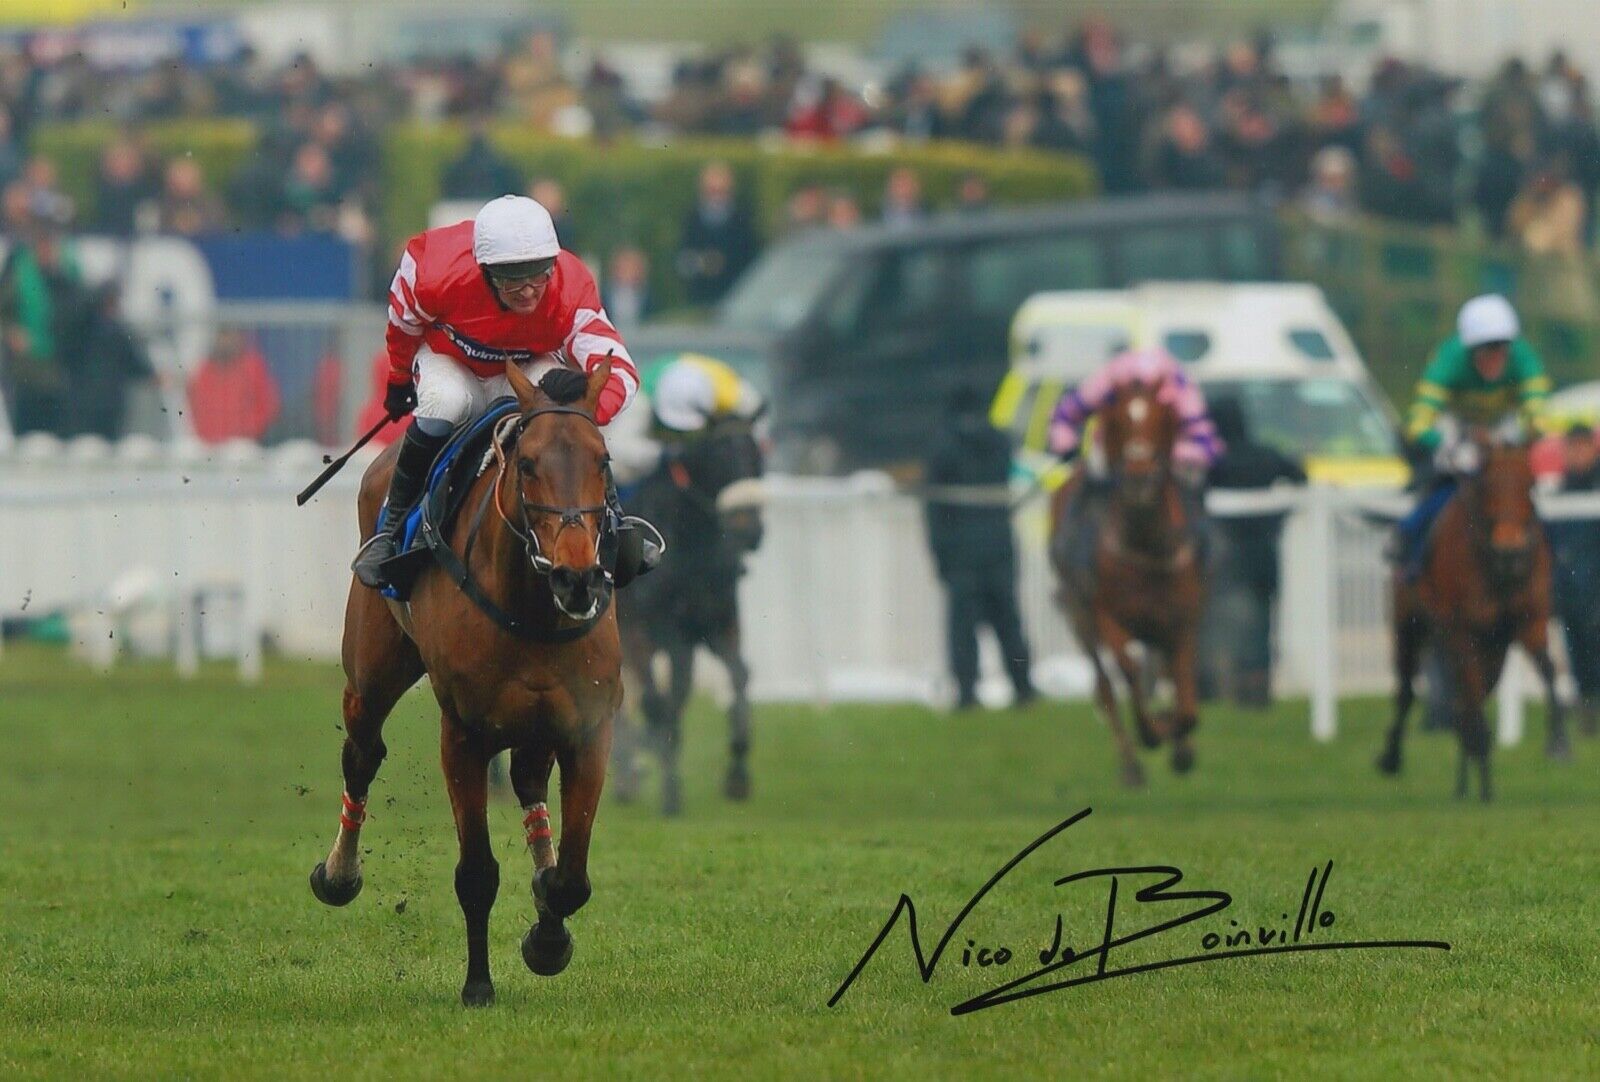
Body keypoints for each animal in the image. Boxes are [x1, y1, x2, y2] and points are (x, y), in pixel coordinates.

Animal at [305, 196, 656, 1005]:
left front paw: (548, 935)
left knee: (528, 783)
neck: (531, 608)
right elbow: (475, 874)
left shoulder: (587, 727)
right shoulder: (462, 735)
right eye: (526, 465)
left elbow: (572, 878)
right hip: (373, 670)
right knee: (361, 753)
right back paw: (338, 873)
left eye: (604, 462)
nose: (578, 579)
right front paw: (478, 985)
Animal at [608, 350, 764, 816]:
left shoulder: (713, 622)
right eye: (719, 456)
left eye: (757, 456)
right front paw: (670, 788)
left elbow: (739, 677)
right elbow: (661, 702)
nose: (750, 531)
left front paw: (737, 774)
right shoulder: (654, 627)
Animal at [1049, 347, 1222, 787]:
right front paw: (1153, 733)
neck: (1146, 546)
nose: (1139, 479)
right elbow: (1128, 673)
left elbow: (1185, 695)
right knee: (1107, 686)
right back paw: (1131, 764)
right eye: (1116, 420)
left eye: (1166, 418)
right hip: (1079, 617)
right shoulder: (1107, 616)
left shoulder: (1182, 620)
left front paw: (1181, 744)